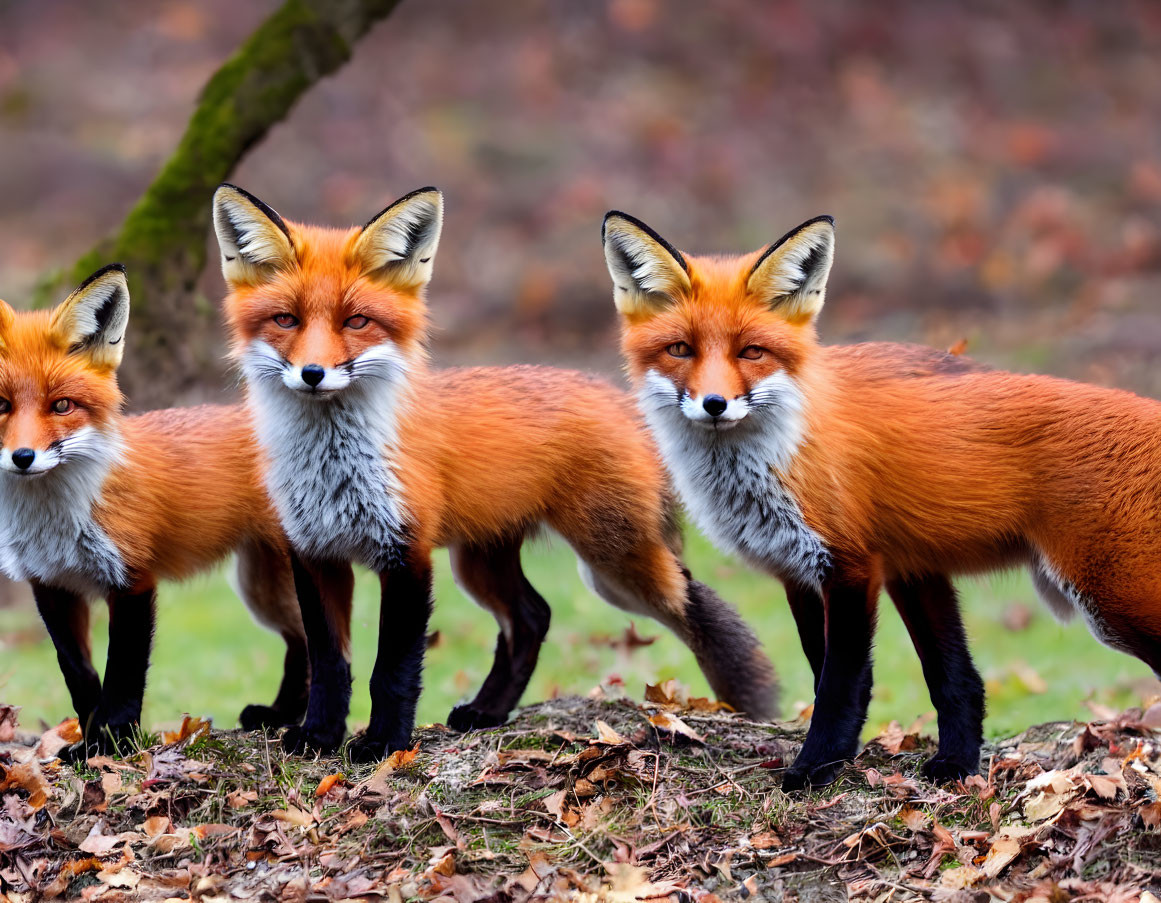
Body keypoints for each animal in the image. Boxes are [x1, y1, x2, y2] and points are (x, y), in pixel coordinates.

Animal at [0, 265, 343, 752]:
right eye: (1, 405)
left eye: (61, 405)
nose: (23, 458)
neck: (57, 519)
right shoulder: (50, 585)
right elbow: (79, 676)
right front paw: (88, 740)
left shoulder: (132, 580)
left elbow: (123, 674)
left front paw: (112, 743)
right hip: (261, 587)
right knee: (299, 642)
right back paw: (279, 714)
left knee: (317, 642)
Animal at [215, 183, 780, 761]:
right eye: (286, 320)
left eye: (356, 322)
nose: (312, 374)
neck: (332, 466)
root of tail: (616, 394)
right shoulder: (314, 551)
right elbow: (330, 663)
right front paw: (319, 737)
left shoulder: (407, 554)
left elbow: (391, 670)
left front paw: (385, 743)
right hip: (483, 562)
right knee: (533, 617)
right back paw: (487, 712)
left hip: (616, 562)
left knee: (692, 605)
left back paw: (752, 709)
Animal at [608, 211, 1161, 789]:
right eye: (680, 350)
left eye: (751, 352)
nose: (714, 404)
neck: (784, 451)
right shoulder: (847, 569)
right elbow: (947, 678)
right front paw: (954, 764)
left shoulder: (852, 566)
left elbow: (840, 683)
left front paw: (817, 766)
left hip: (1116, 598)